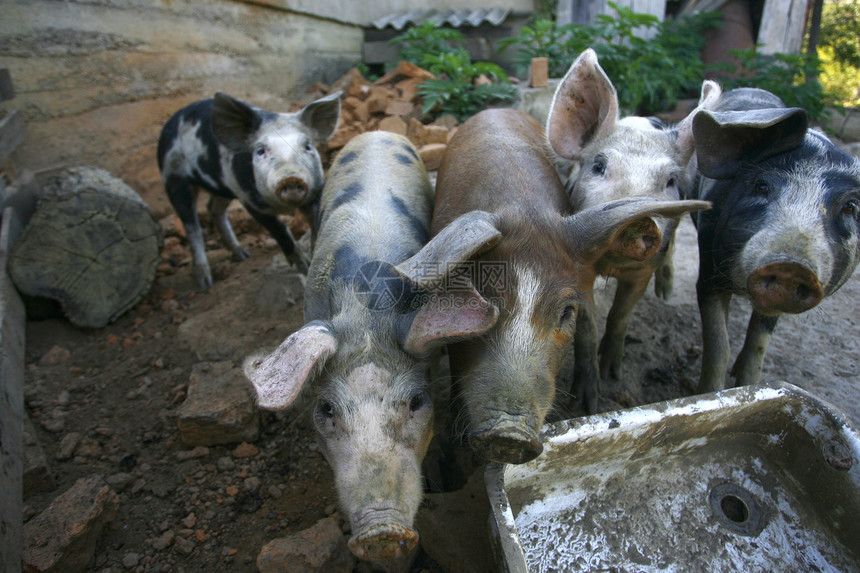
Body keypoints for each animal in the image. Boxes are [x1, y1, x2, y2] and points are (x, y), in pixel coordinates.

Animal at [158, 91, 340, 288]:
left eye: (307, 146)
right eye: (260, 151)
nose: (291, 177)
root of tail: (171, 121)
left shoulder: (315, 192)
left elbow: (316, 223)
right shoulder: (250, 201)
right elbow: (279, 229)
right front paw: (304, 265)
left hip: (222, 188)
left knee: (213, 208)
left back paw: (242, 254)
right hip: (174, 179)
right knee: (193, 227)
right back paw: (205, 282)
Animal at [544, 49, 720, 414]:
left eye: (670, 181)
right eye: (598, 166)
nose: (638, 220)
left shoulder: (643, 269)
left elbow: (621, 313)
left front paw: (614, 373)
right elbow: (586, 326)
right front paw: (587, 403)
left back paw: (666, 293)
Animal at [688, 88, 860, 394]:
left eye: (850, 206)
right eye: (762, 186)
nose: (791, 266)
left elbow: (759, 343)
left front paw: (747, 384)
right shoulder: (708, 266)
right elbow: (719, 345)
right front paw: (710, 391)